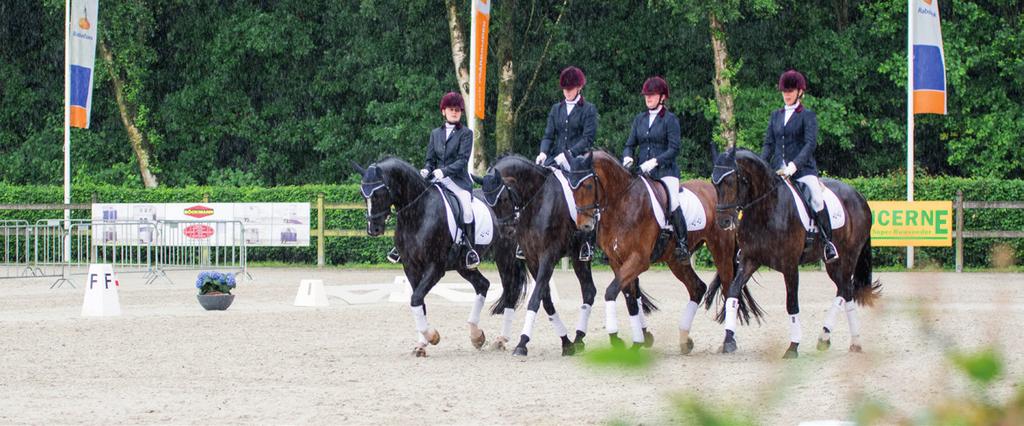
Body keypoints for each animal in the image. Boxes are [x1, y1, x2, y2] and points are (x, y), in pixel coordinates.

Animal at [352, 156, 528, 356]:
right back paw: (477, 336)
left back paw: (501, 339)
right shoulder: (411, 267)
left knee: (510, 291)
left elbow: (416, 298)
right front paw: (421, 344)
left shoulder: (435, 267)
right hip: (463, 265)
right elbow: (418, 301)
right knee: (483, 285)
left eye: (378, 193)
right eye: (362, 194)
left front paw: (432, 337)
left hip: (505, 257)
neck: (417, 214)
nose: (373, 229)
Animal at [479, 154, 598, 358]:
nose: (506, 231)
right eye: (489, 202)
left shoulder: (548, 256)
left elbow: (535, 299)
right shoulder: (533, 259)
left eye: (504, 198)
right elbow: (546, 299)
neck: (537, 200)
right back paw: (578, 339)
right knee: (590, 290)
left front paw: (522, 343)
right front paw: (566, 343)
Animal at [565, 151, 757, 350]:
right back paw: (685, 339)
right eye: (571, 187)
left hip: (721, 250)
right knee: (697, 287)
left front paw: (616, 338)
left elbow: (611, 291)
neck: (622, 204)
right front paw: (637, 340)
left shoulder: (639, 260)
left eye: (588, 185)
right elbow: (630, 299)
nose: (584, 225)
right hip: (676, 260)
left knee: (728, 288)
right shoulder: (616, 261)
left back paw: (729, 341)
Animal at [712, 148, 880, 358]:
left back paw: (830, 337)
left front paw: (793, 347)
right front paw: (728, 340)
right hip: (833, 263)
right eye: (714, 183)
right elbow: (733, 292)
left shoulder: (790, 265)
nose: (723, 222)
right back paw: (846, 340)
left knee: (844, 289)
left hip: (848, 256)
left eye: (731, 181)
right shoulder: (749, 260)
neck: (766, 208)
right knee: (846, 290)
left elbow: (792, 303)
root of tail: (859, 196)